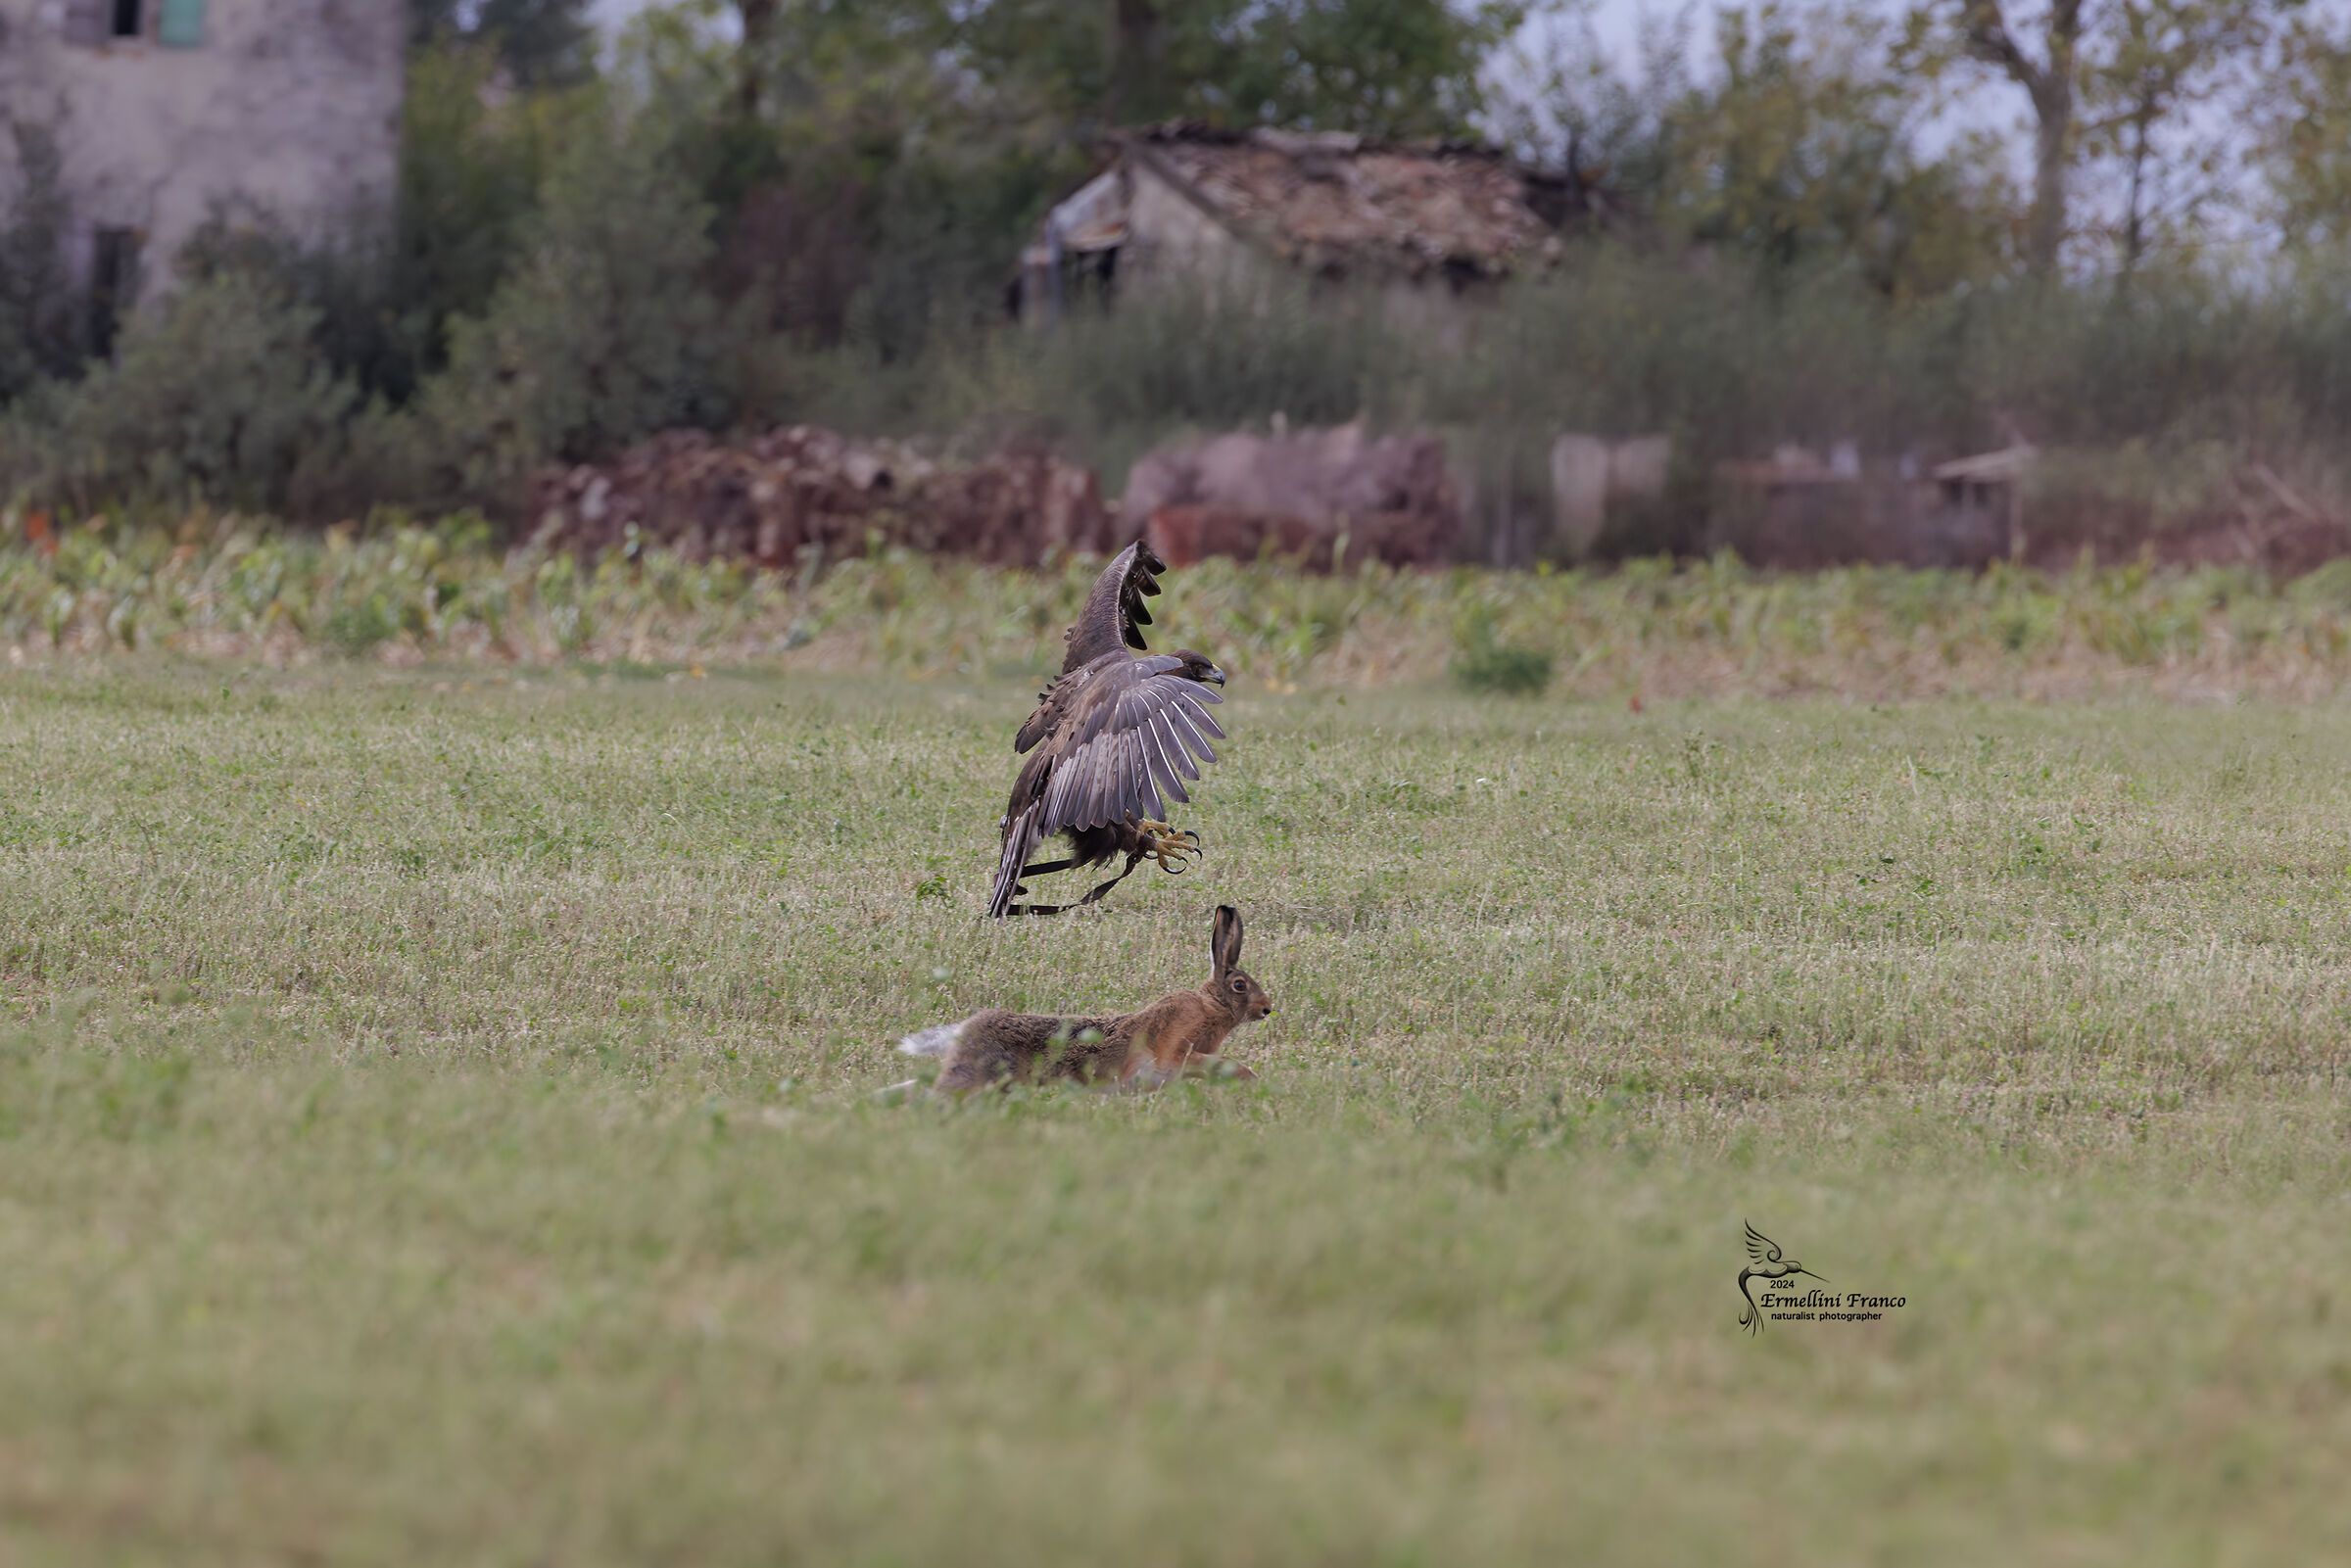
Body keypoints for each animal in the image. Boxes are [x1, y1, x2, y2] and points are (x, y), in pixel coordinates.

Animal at [898, 906, 1272, 1093]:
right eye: (1240, 985)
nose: (1267, 1009)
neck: (1212, 1004)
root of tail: (964, 1031)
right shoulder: (1178, 1049)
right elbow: (1215, 1064)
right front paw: (1251, 1079)